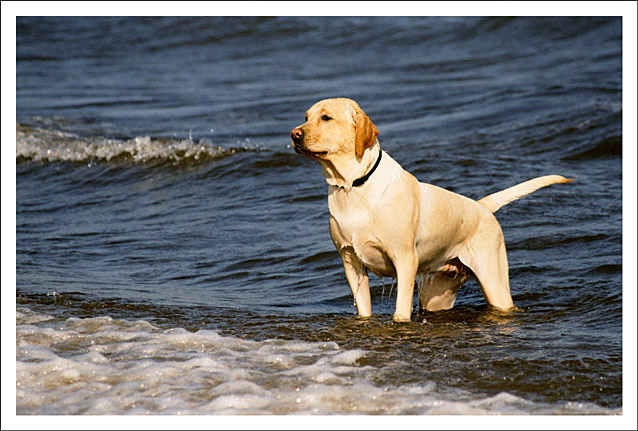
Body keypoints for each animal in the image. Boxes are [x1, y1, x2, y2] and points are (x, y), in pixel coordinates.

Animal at [290, 98, 576, 320]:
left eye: (326, 117)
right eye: (306, 117)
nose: (293, 134)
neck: (353, 185)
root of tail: (480, 206)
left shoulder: (404, 260)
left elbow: (400, 311)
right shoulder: (350, 261)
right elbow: (364, 310)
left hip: (494, 281)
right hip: (437, 292)